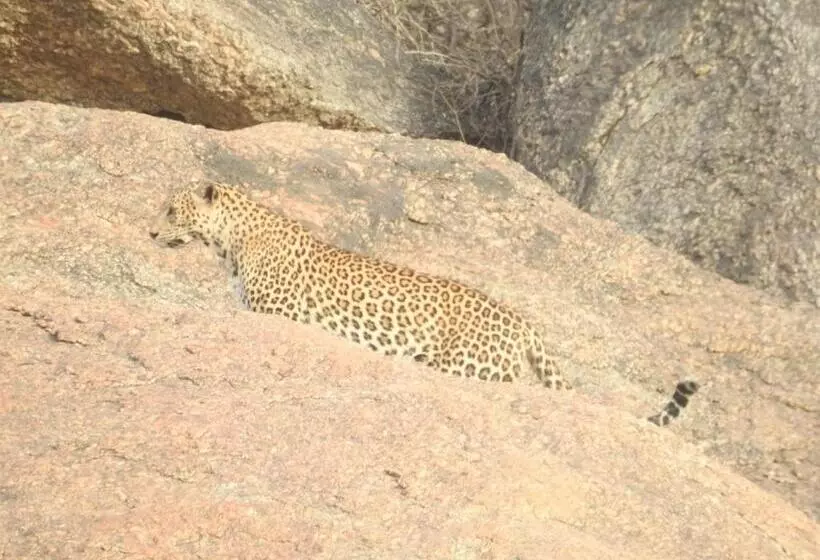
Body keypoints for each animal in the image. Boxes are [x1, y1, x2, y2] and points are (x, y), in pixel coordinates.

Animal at [149, 182, 699, 426]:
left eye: (172, 210)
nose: (150, 232)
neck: (231, 241)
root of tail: (525, 323)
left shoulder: (281, 314)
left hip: (462, 364)